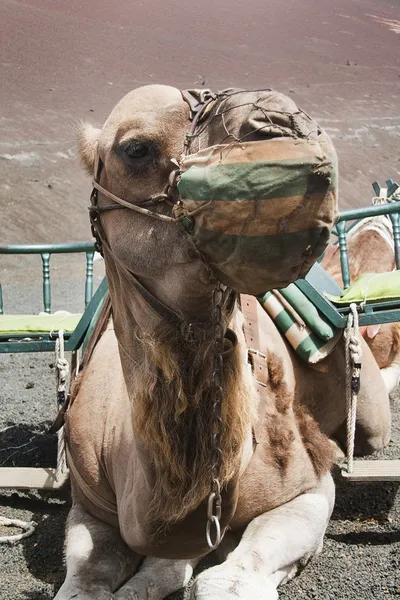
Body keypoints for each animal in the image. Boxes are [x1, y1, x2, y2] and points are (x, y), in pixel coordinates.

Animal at [54, 85, 390, 600]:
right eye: (136, 149)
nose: (281, 121)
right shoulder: (89, 506)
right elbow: (94, 580)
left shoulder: (310, 484)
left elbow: (221, 578)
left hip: (371, 414)